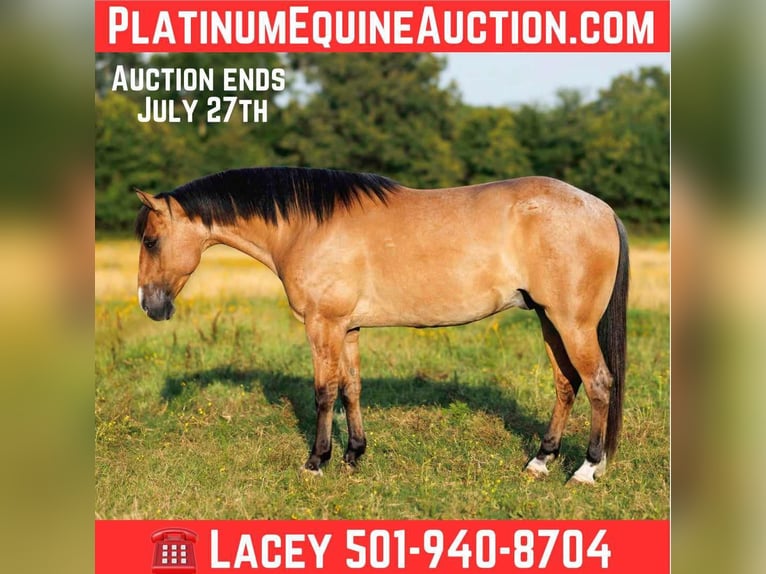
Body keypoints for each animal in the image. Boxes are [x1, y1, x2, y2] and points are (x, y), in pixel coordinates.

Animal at [135, 167, 628, 484]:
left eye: (152, 240)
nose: (148, 305)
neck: (306, 227)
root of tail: (601, 208)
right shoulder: (347, 328)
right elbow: (351, 388)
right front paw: (354, 455)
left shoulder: (323, 325)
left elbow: (324, 392)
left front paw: (316, 462)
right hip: (550, 320)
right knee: (566, 384)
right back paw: (541, 461)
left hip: (572, 323)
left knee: (599, 383)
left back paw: (587, 469)